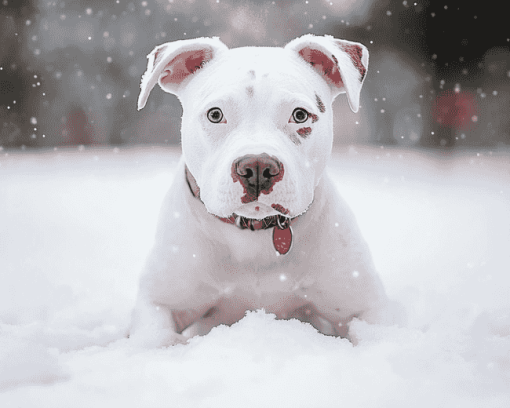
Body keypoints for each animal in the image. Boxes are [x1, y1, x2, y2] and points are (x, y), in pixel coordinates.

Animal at [131, 35, 394, 348]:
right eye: (215, 114)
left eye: (300, 115)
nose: (257, 167)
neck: (254, 235)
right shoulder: (158, 301)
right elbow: (158, 337)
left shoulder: (368, 308)